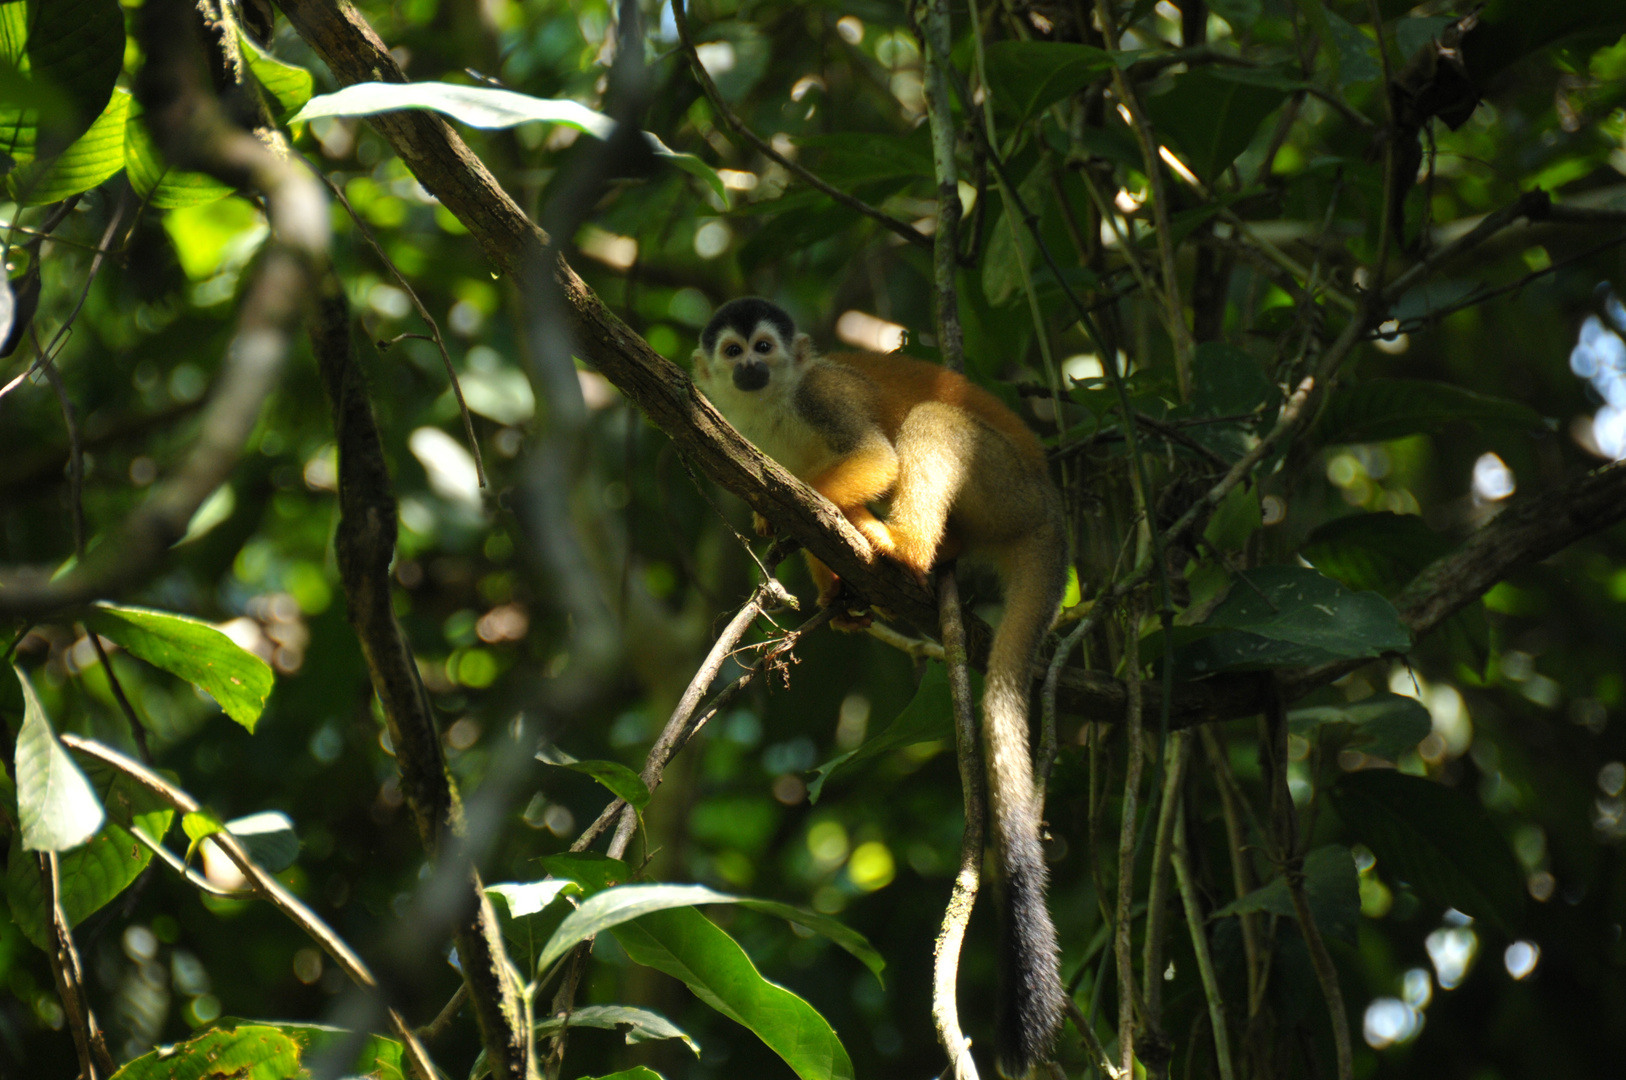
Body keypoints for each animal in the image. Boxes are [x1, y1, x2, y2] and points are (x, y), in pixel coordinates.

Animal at [692, 297, 1073, 1080]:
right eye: (735, 352)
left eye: (766, 348)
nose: (751, 369)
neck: (771, 410)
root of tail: (1053, 516)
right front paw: (827, 584)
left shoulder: (822, 394)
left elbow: (873, 458)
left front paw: (806, 514)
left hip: (1008, 488)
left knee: (930, 422)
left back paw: (906, 548)